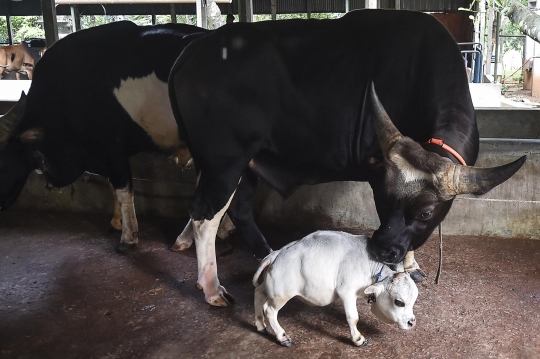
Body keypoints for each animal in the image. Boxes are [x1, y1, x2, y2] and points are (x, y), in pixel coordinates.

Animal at [169, 8, 524, 306]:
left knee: (239, 209)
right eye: (382, 198)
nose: (381, 249)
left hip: (247, 162)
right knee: (205, 215)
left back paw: (268, 255)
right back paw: (212, 288)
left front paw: (411, 263)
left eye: (426, 212)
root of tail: (195, 48)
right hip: (224, 162)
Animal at [252, 232, 418, 348]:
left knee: (258, 294)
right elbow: (353, 317)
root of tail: (276, 254)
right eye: (399, 302)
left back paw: (260, 325)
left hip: (269, 287)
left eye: (413, 301)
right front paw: (358, 339)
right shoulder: (346, 292)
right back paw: (283, 337)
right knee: (269, 310)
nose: (412, 322)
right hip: (281, 294)